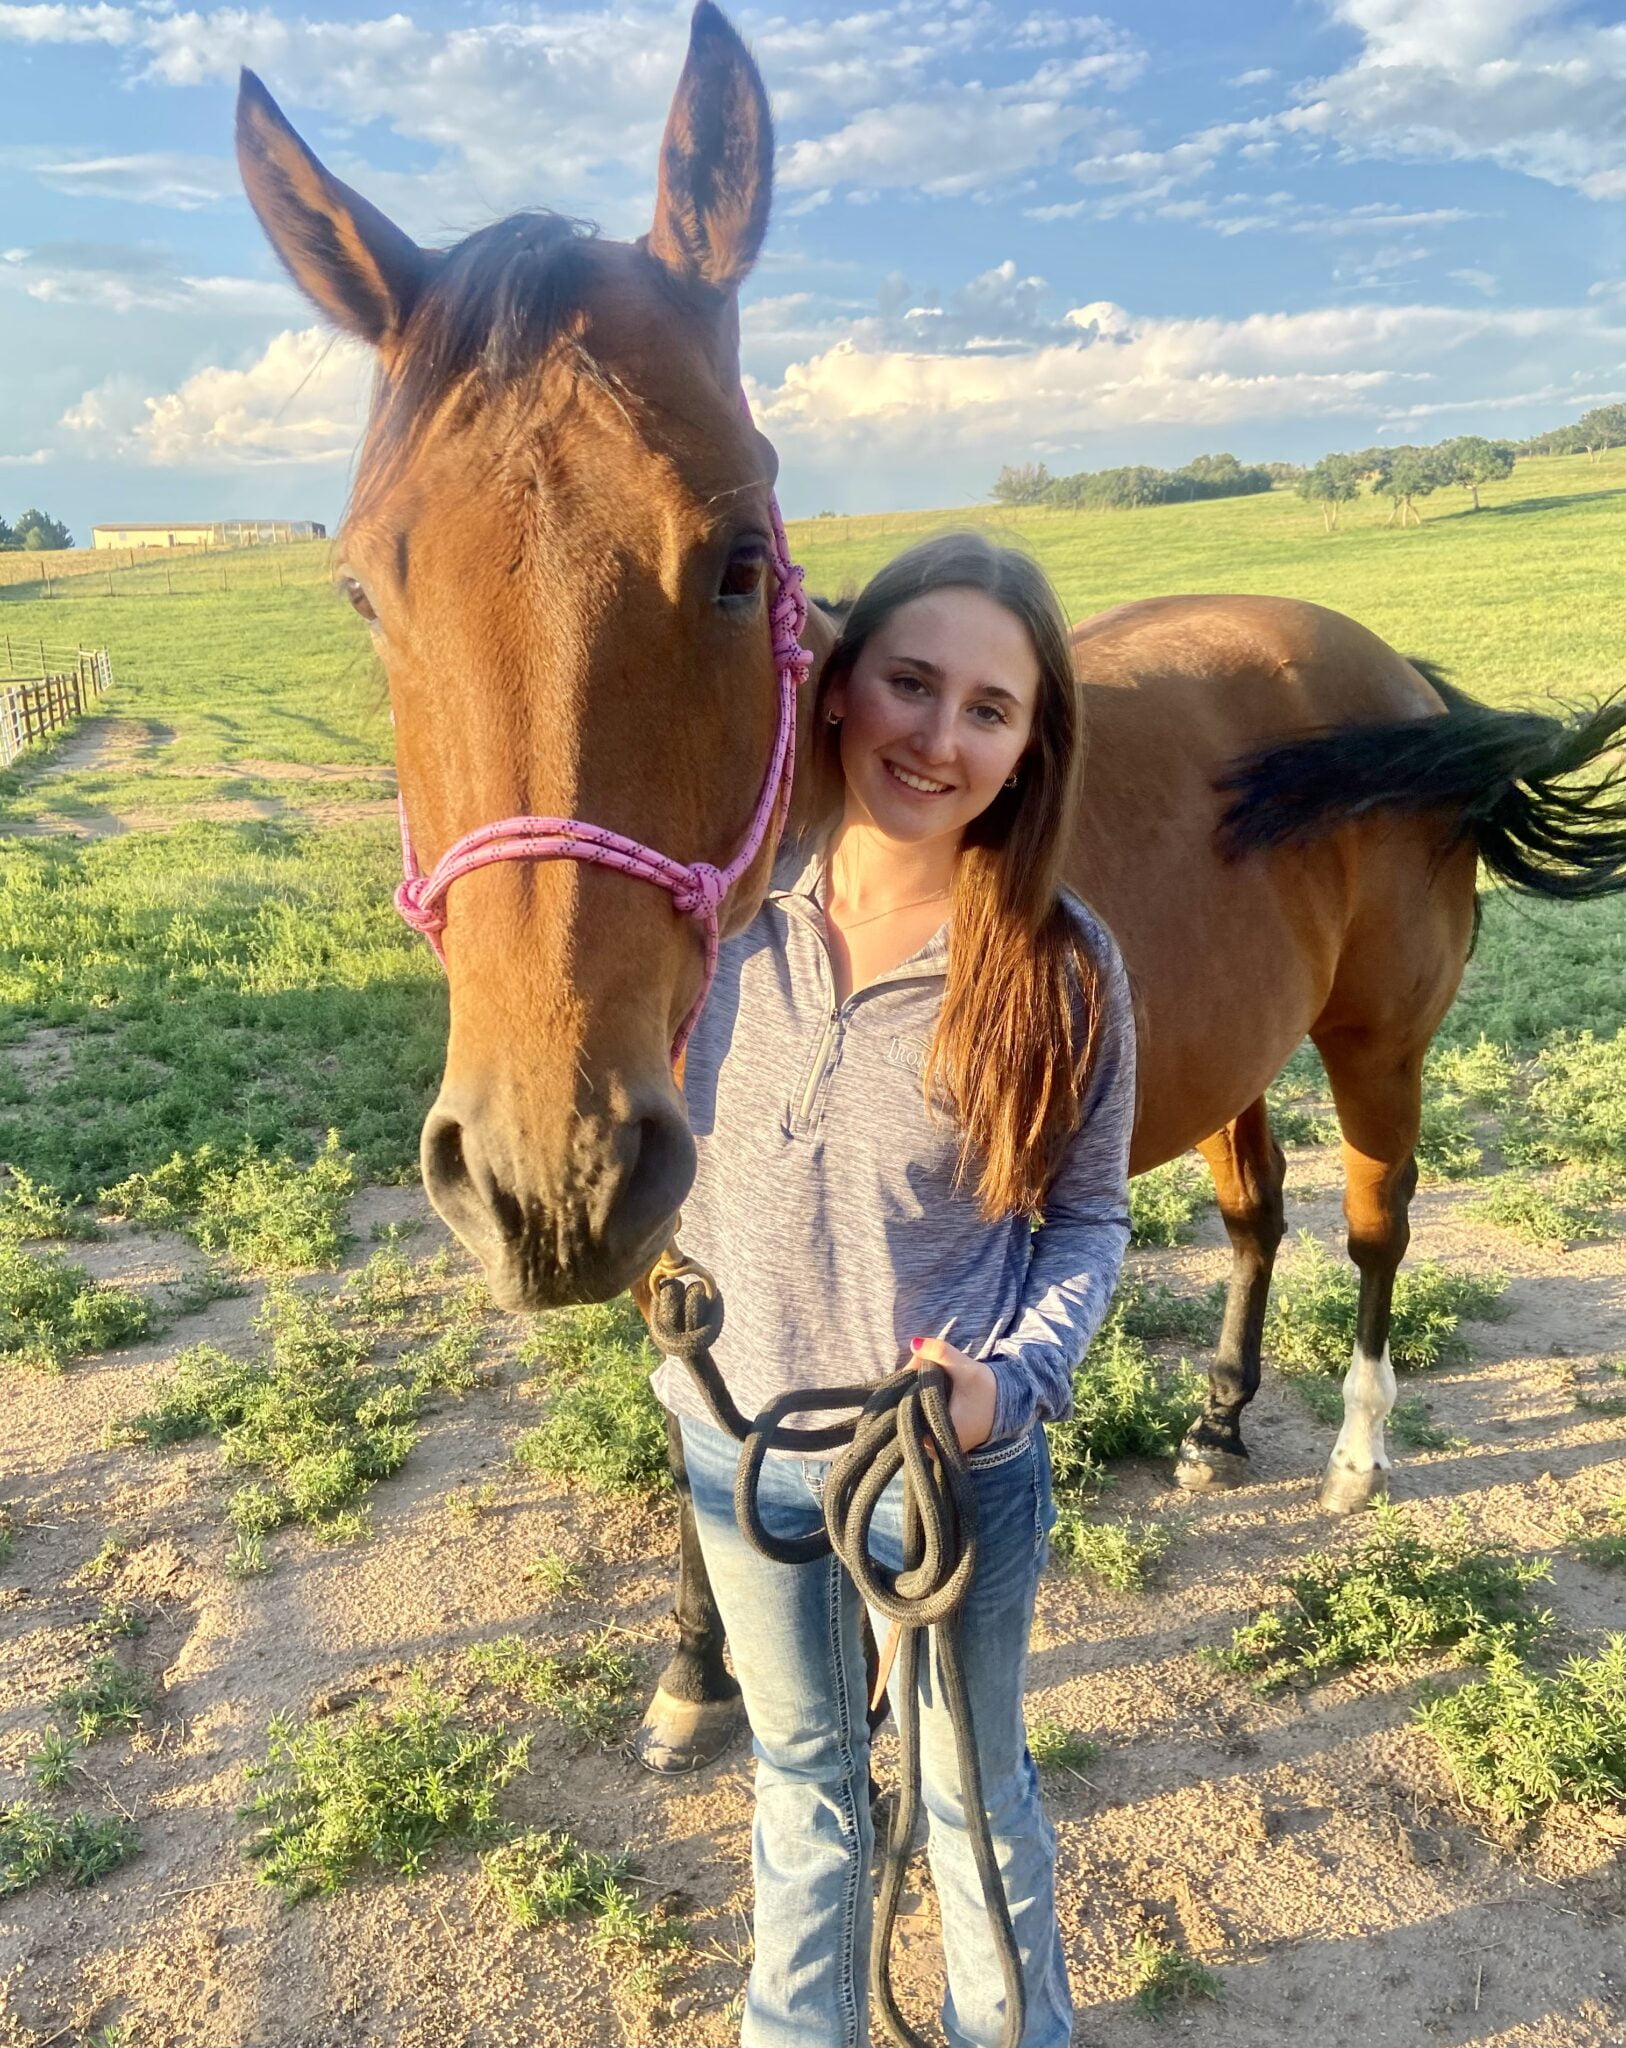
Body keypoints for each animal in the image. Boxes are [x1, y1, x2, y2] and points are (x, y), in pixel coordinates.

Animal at [236, 0, 1626, 1772]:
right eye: (364, 586)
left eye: (736, 559)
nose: (549, 1176)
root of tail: (1390, 675)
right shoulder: (690, 1242)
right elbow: (710, 1437)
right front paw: (699, 1665)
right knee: (1255, 1209)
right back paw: (1217, 1418)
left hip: (1380, 1044)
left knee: (1376, 1229)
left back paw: (1355, 1454)